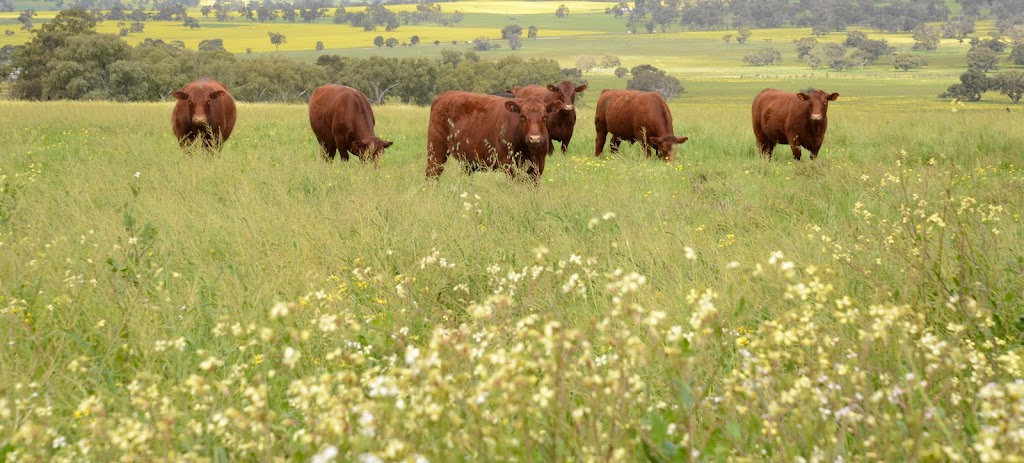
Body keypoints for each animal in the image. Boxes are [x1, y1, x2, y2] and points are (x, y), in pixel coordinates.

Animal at [428, 90, 565, 182]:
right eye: (522, 117)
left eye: (545, 117)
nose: (535, 138)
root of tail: (444, 95)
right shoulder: (507, 162)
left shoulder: (539, 163)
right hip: (435, 149)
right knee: (432, 174)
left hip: (467, 160)